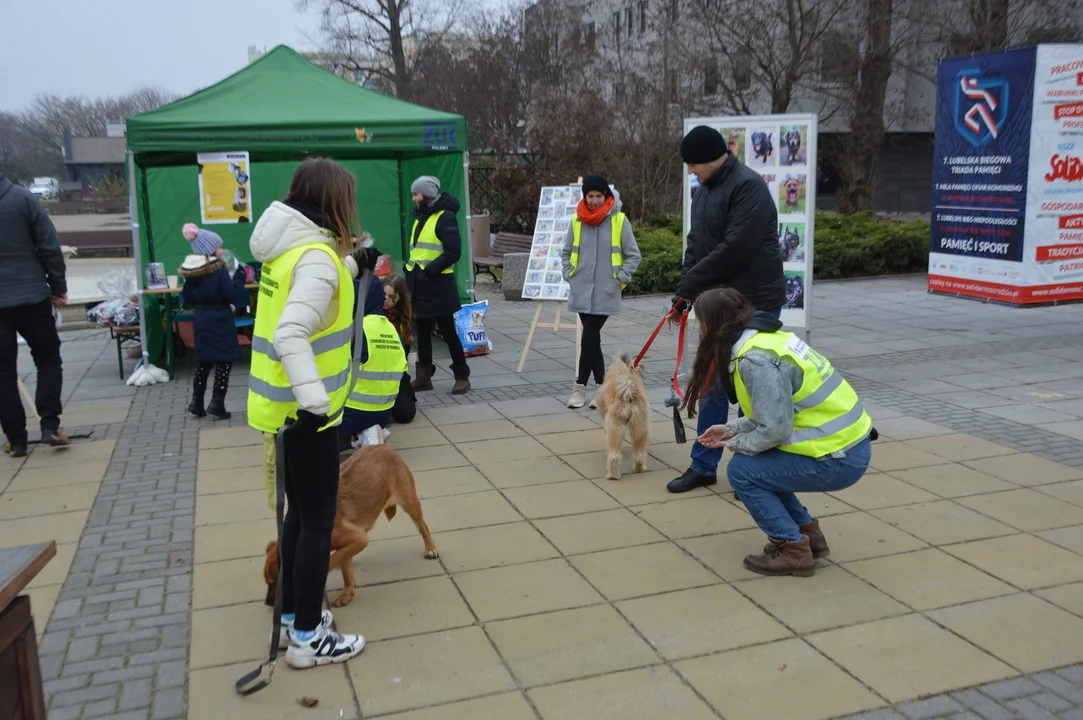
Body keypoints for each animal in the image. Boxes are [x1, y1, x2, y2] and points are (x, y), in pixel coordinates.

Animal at [264, 443, 437, 606]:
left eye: (274, 584)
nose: (267, 603)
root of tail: (383, 446)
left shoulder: (358, 539)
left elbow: (331, 562)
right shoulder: (352, 542)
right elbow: (347, 572)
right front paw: (347, 593)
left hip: (410, 503)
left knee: (423, 526)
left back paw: (431, 548)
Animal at [597, 352, 645, 480]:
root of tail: (629, 392)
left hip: (615, 427)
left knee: (614, 455)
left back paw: (612, 475)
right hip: (640, 426)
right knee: (639, 451)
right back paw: (639, 467)